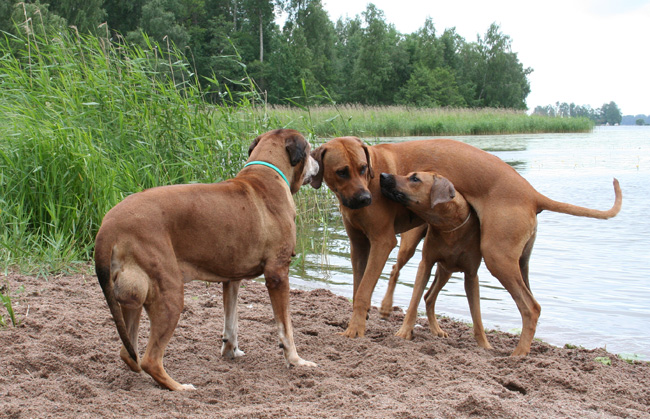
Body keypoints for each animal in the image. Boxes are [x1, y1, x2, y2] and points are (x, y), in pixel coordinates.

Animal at [95, 130, 318, 392]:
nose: (318, 163)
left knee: (128, 352)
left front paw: (231, 350)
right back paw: (179, 387)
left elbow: (231, 321)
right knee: (151, 359)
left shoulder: (232, 279)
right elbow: (286, 328)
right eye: (309, 150)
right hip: (169, 294)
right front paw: (296, 360)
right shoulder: (278, 274)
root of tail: (108, 225)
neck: (265, 173)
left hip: (133, 295)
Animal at [378, 172, 488, 350]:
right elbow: (413, 303)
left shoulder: (471, 275)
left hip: (446, 269)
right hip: (410, 246)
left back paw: (436, 329)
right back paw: (386, 306)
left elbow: (476, 314)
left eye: (415, 179)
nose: (383, 175)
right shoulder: (425, 264)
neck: (448, 224)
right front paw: (404, 332)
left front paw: (485, 345)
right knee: (396, 269)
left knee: (429, 297)